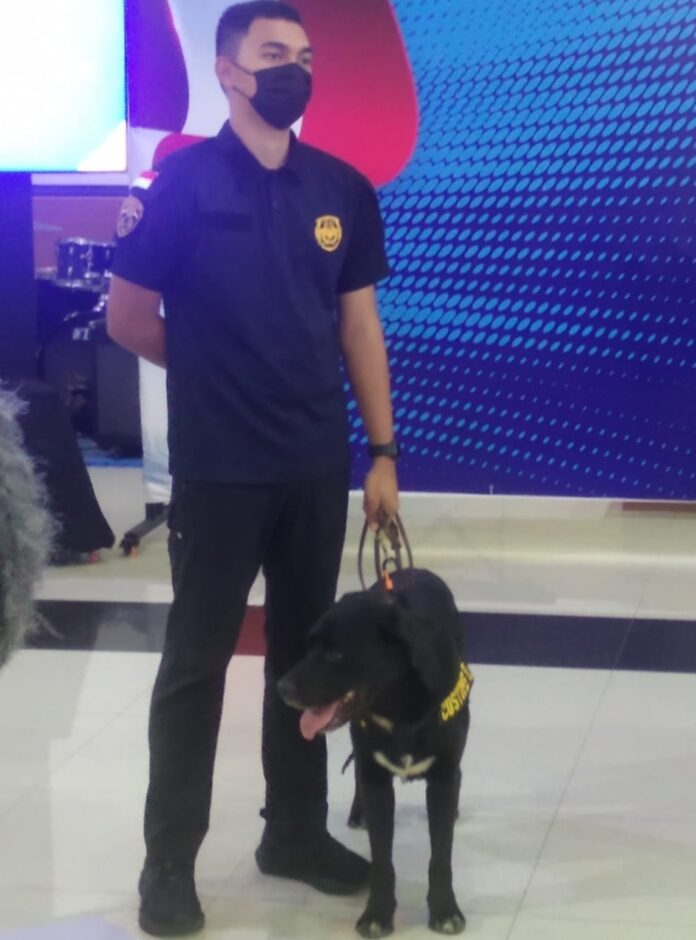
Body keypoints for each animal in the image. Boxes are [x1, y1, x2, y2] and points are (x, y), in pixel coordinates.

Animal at [278, 567, 472, 938]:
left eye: (335, 654)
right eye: (310, 646)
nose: (282, 688)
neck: (398, 709)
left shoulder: (442, 779)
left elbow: (441, 855)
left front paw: (445, 909)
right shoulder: (376, 780)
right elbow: (383, 859)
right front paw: (377, 914)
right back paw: (359, 811)